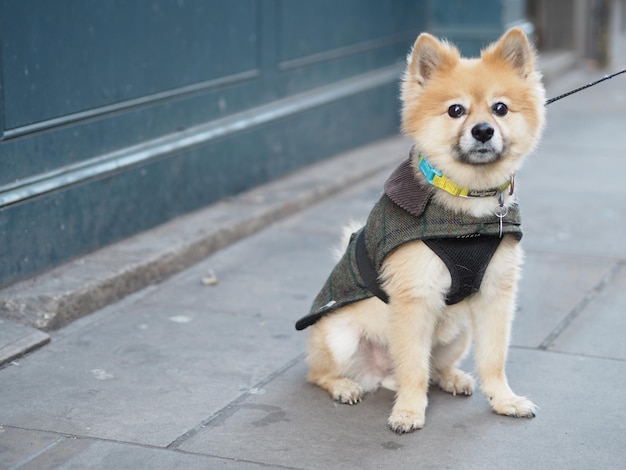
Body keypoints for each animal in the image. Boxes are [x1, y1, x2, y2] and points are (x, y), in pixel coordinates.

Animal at [294, 26, 544, 434]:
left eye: (500, 108)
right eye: (455, 110)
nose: (483, 131)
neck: (467, 203)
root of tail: (382, 376)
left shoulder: (495, 295)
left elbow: (493, 358)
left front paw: (504, 400)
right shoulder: (416, 299)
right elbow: (413, 366)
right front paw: (409, 412)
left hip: (458, 331)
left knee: (434, 367)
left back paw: (452, 377)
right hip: (339, 337)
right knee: (319, 373)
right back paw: (344, 386)